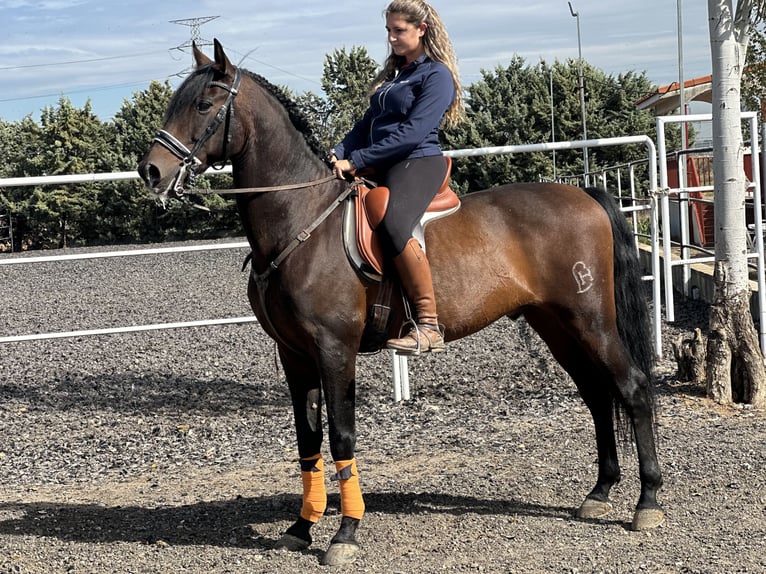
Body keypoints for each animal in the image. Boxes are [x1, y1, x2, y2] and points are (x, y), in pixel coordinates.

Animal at [140, 39, 664, 568]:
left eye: (203, 104)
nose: (151, 170)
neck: (303, 221)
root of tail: (584, 195)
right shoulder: (294, 355)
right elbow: (308, 439)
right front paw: (302, 527)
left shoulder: (334, 350)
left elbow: (341, 435)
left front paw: (345, 533)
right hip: (554, 323)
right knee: (596, 394)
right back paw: (599, 492)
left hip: (591, 319)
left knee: (633, 388)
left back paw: (647, 502)